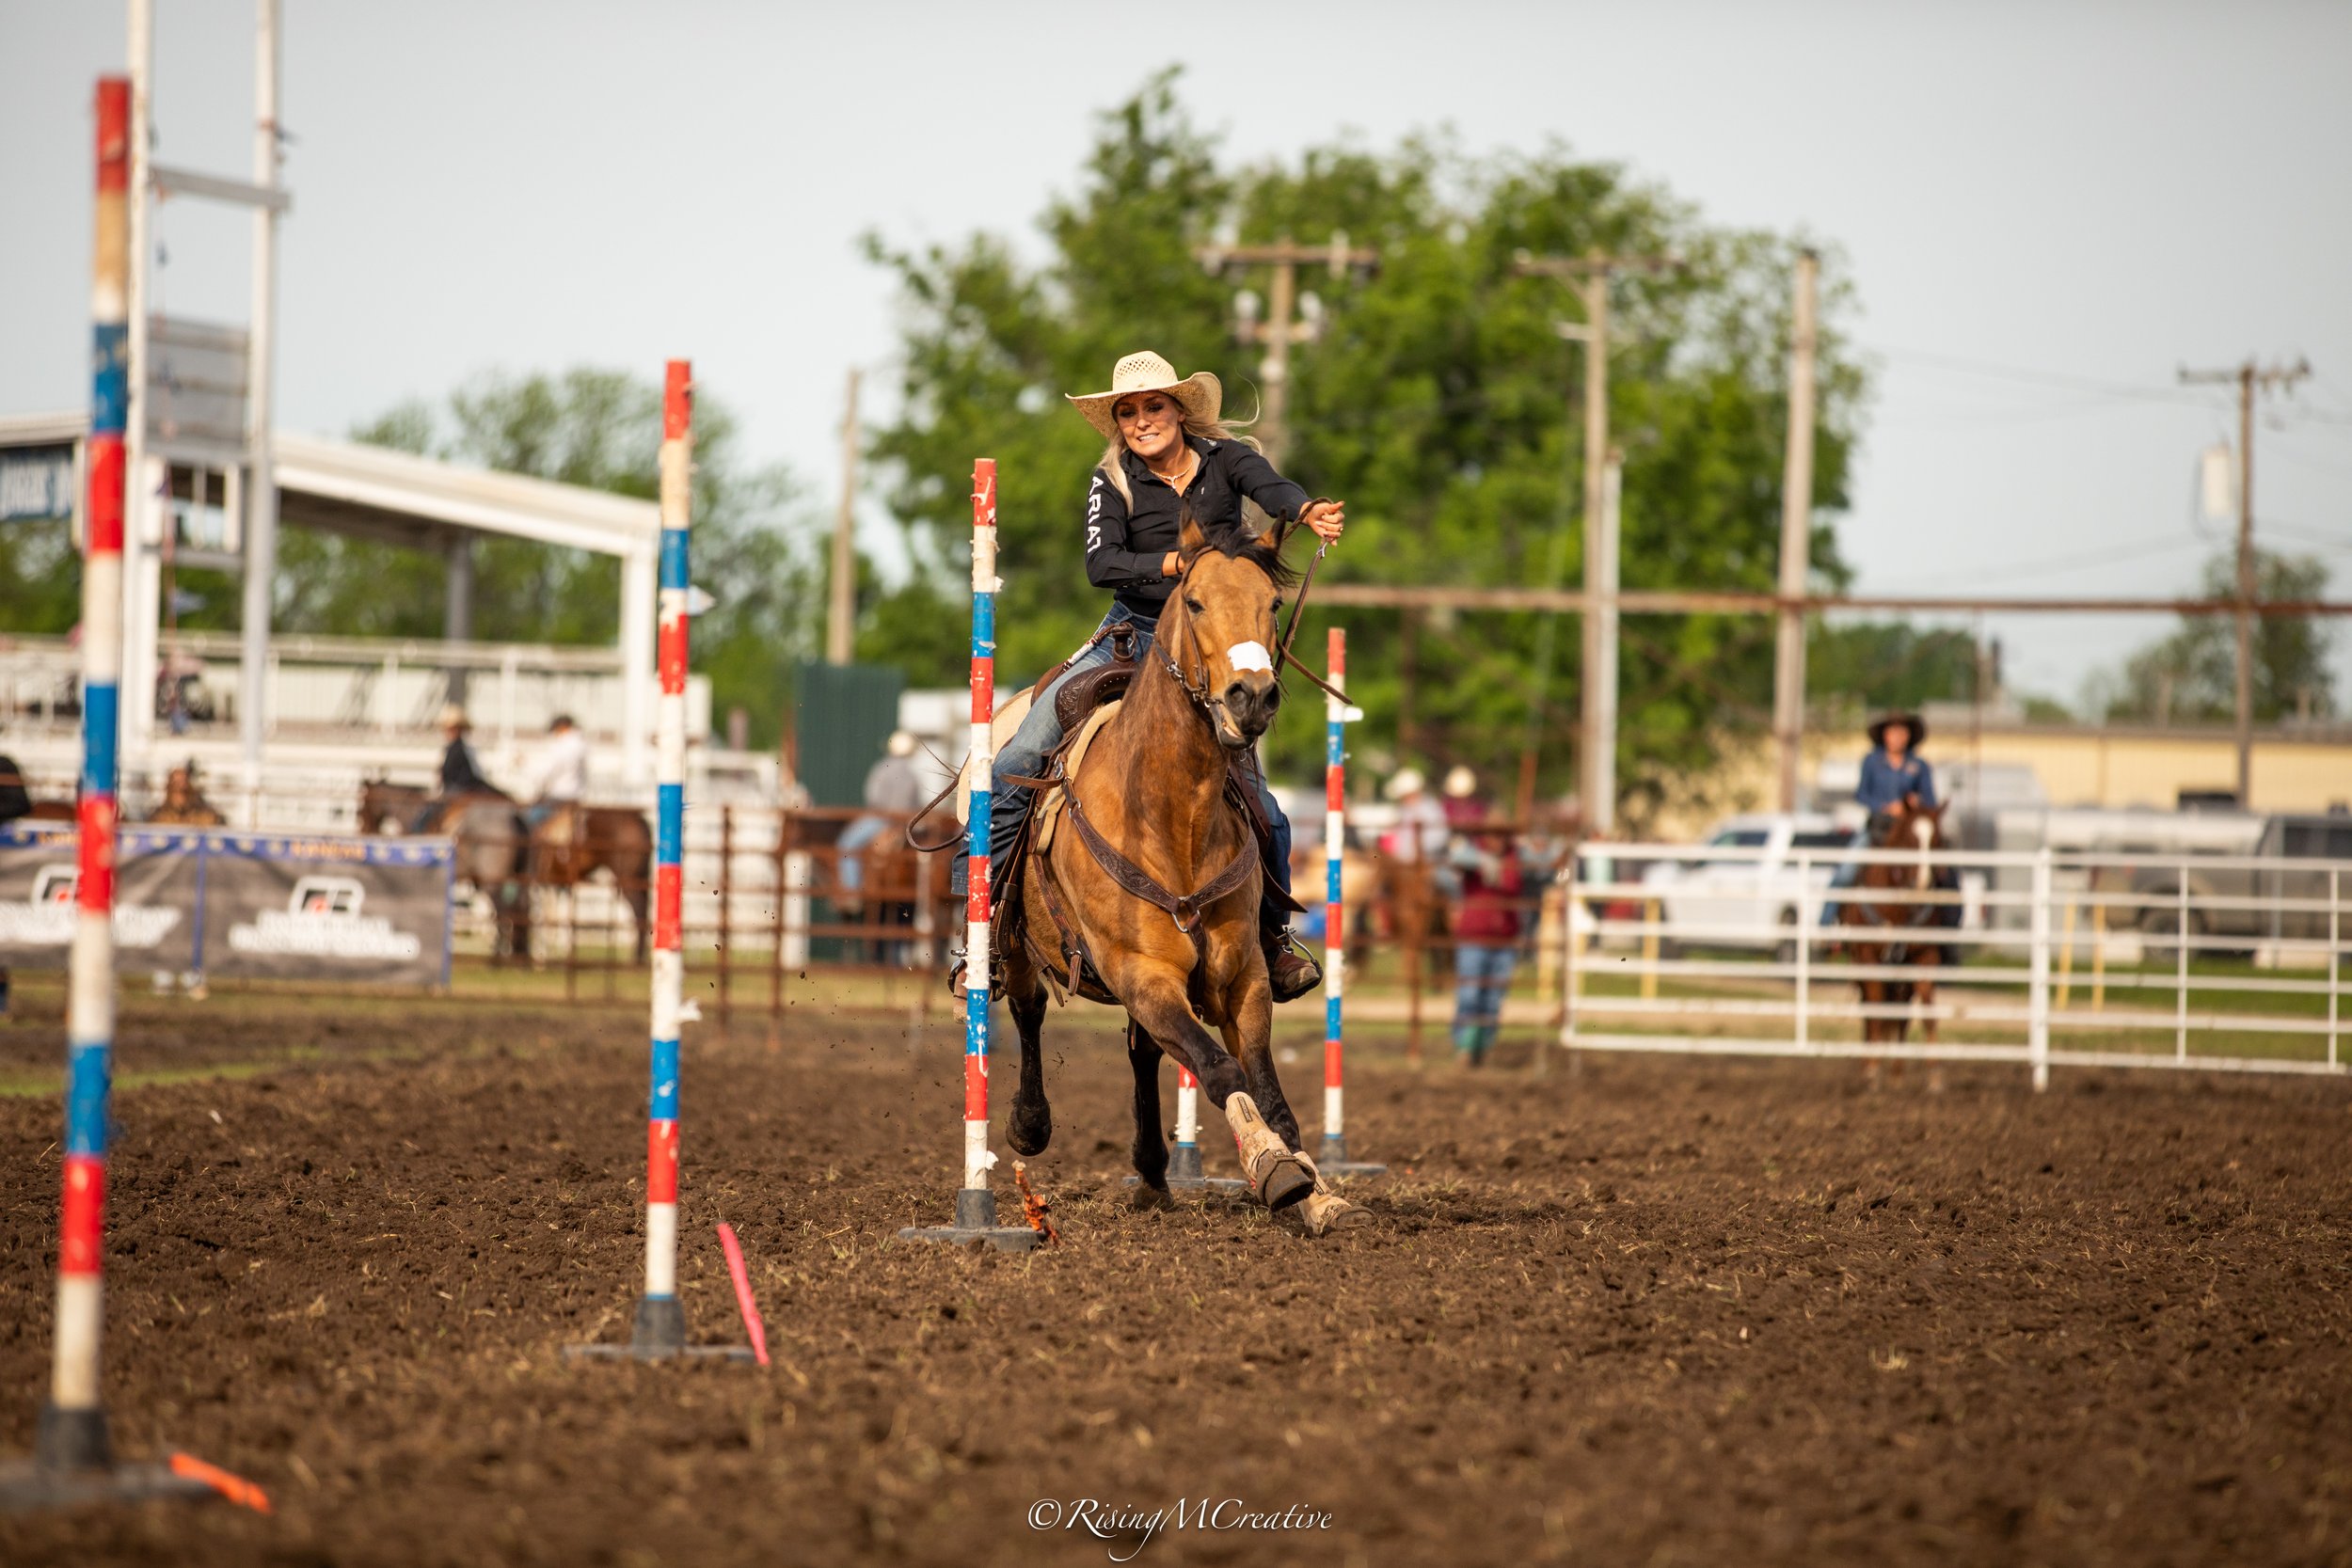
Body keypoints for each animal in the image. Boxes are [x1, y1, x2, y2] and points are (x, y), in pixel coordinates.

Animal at [991, 508, 1365, 1237]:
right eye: (1193, 601)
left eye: (1272, 603)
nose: (1251, 697)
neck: (1172, 817)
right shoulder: (1141, 970)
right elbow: (1221, 1072)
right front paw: (1275, 1170)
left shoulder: (1240, 976)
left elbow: (1266, 1086)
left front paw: (1317, 1191)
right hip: (1019, 942)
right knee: (1027, 1008)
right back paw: (1029, 1123)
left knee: (1143, 1051)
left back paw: (1154, 1174)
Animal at [1835, 797, 1953, 1082]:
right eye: (1909, 839)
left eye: (1938, 840)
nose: (1923, 883)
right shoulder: (1869, 957)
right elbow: (1876, 1012)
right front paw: (1873, 1070)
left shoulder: (1926, 956)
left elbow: (1928, 1012)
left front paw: (1934, 1074)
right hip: (1860, 965)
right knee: (1871, 1010)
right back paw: (1871, 1064)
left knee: (1901, 1013)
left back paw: (1898, 1072)